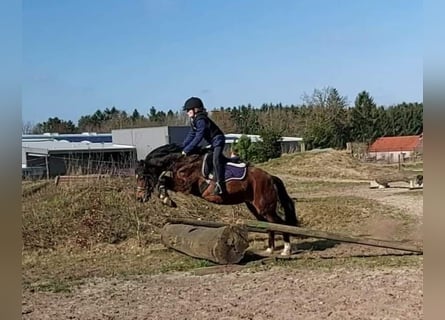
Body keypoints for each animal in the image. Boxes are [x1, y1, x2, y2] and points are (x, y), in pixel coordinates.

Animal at [135, 142, 298, 255]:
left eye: (142, 177)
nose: (139, 198)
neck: (182, 161)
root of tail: (270, 177)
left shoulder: (185, 185)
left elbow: (163, 180)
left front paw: (166, 199)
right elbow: (164, 181)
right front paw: (166, 199)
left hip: (265, 207)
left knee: (280, 224)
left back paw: (286, 250)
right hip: (254, 207)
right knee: (269, 225)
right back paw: (270, 250)